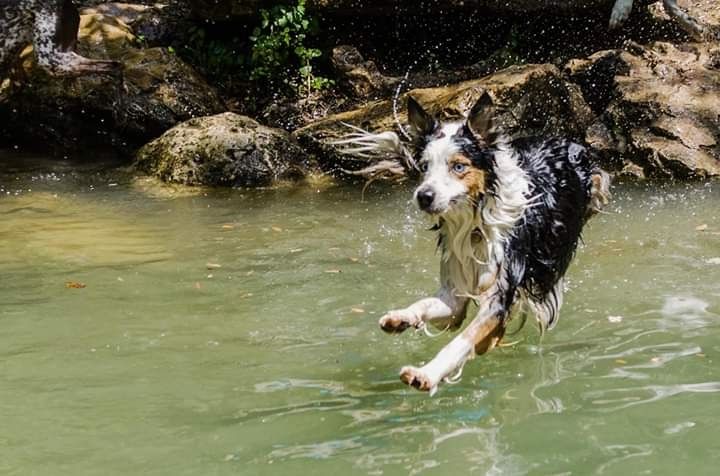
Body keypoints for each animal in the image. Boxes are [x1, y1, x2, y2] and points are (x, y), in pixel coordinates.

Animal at [336, 93, 608, 394]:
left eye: (458, 166)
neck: (476, 223)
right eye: (425, 167)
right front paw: (401, 317)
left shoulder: (498, 300)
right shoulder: (454, 295)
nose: (423, 196)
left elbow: (460, 342)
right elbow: (425, 305)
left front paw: (427, 373)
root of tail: (564, 140)